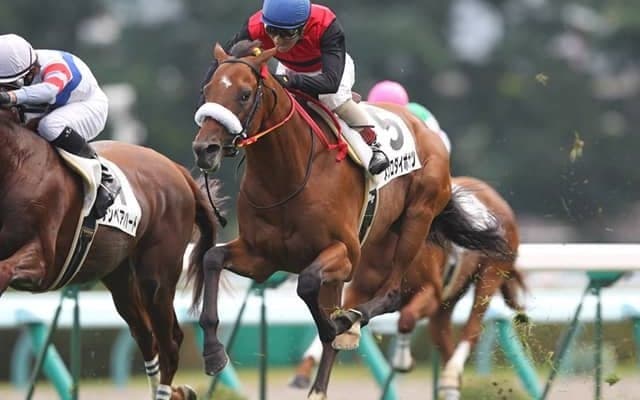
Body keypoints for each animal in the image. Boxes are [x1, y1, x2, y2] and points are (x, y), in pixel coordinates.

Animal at [0, 106, 218, 400]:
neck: (16, 166)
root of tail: (177, 170)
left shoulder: (42, 262)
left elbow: (5, 270)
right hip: (120, 278)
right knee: (146, 337)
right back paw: (176, 391)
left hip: (156, 278)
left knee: (170, 342)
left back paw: (168, 392)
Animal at [191, 41, 511, 399]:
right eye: (207, 90)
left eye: (245, 94)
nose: (205, 149)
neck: (287, 176)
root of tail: (426, 130)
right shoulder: (261, 257)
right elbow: (212, 258)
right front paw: (213, 352)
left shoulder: (344, 253)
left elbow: (308, 284)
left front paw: (338, 326)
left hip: (420, 219)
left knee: (393, 294)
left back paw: (351, 323)